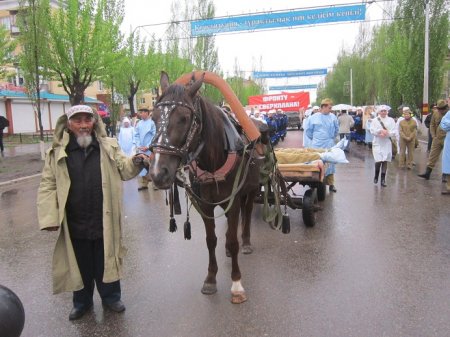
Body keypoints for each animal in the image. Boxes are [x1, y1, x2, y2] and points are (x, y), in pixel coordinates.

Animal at [149, 71, 266, 302]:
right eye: (154, 117)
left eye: (184, 118)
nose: (158, 173)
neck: (214, 159)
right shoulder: (205, 205)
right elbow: (211, 240)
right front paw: (211, 279)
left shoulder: (234, 200)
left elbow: (232, 240)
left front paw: (236, 283)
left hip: (250, 191)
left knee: (247, 215)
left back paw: (246, 242)